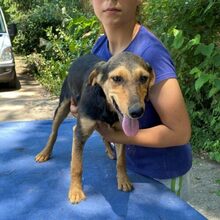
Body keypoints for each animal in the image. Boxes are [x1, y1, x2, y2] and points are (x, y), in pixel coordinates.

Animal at [34, 51, 155, 203]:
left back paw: (110, 151)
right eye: (117, 78)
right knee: (54, 132)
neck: (106, 106)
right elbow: (77, 166)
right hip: (63, 106)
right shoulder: (80, 132)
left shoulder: (121, 132)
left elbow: (121, 161)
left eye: (144, 78)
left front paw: (123, 180)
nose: (137, 112)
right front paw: (76, 191)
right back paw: (45, 153)